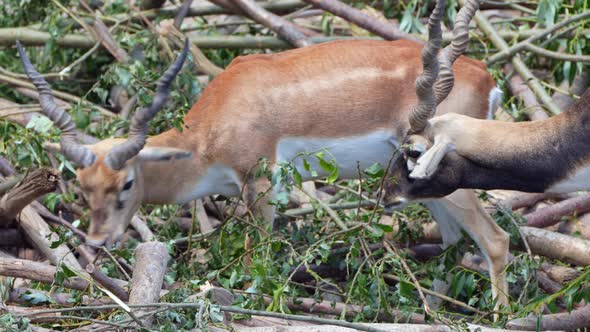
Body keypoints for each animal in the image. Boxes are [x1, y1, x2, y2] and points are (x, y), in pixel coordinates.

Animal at [16, 0, 512, 312]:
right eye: (82, 186)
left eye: (127, 183)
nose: (98, 241)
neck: (211, 126)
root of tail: (488, 80)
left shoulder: (260, 178)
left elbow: (259, 253)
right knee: (453, 239)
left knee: (495, 239)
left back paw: (498, 314)